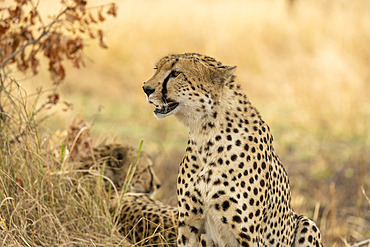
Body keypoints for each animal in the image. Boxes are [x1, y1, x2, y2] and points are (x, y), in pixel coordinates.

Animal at [143, 53, 322, 247]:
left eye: (176, 73)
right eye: (156, 69)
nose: (146, 88)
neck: (205, 135)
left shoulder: (248, 235)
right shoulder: (189, 224)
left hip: (307, 223)